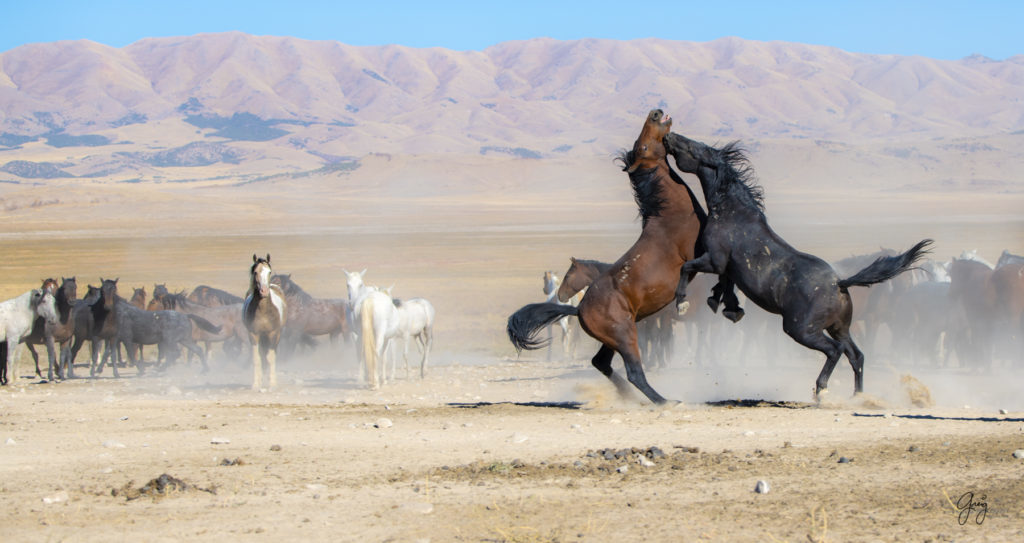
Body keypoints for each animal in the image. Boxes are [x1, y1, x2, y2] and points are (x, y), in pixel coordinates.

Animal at [241, 254, 286, 389]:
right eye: (255, 272)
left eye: (269, 272)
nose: (264, 291)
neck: (263, 312)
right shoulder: (254, 334)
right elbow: (257, 359)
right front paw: (256, 383)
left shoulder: (273, 333)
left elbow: (270, 357)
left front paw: (272, 383)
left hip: (276, 335)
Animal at [509, 109, 708, 403]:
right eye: (643, 147)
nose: (655, 113)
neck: (669, 214)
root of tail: (577, 308)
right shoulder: (700, 252)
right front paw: (683, 302)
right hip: (626, 337)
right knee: (634, 372)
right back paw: (664, 401)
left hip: (612, 340)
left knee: (601, 364)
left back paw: (628, 396)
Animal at [663, 129, 937, 395]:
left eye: (694, 147)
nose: (669, 136)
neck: (732, 212)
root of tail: (840, 283)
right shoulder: (727, 268)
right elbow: (725, 286)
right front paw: (727, 307)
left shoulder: (715, 260)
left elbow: (687, 268)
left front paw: (682, 303)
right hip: (839, 327)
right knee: (856, 356)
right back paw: (858, 397)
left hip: (802, 330)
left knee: (835, 351)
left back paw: (821, 391)